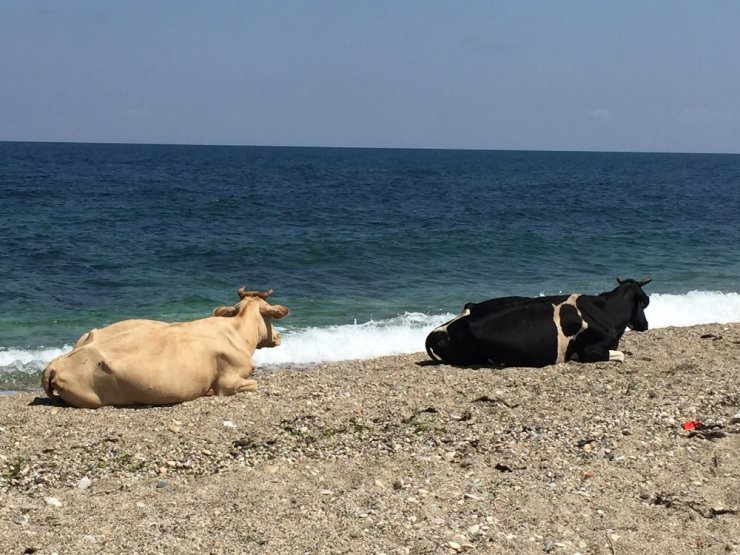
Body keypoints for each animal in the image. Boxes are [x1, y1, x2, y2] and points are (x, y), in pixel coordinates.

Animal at [39, 288, 290, 410]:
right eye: (270, 316)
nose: (278, 337)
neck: (237, 332)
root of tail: (56, 364)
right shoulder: (228, 382)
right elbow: (251, 384)